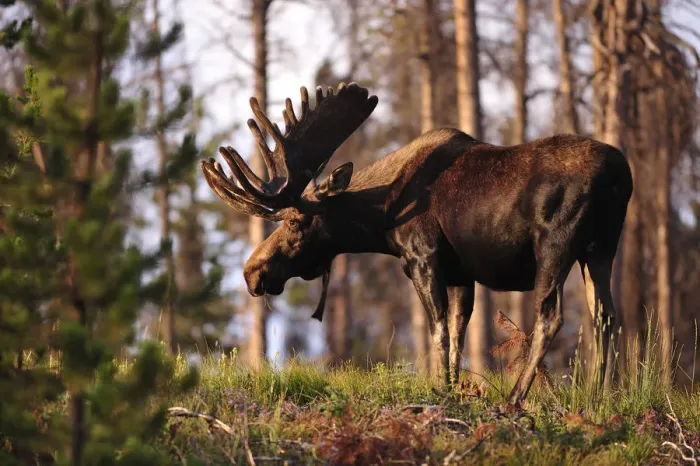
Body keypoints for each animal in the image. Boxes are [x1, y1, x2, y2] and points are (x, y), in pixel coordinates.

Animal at [201, 82, 633, 406]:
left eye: (295, 221)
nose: (252, 272)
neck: (383, 216)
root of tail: (620, 175)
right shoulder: (461, 273)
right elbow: (458, 333)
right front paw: (455, 389)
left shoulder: (423, 257)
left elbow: (438, 329)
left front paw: (442, 390)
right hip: (601, 249)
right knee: (606, 316)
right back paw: (600, 395)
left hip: (556, 247)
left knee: (552, 317)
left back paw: (514, 400)